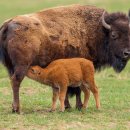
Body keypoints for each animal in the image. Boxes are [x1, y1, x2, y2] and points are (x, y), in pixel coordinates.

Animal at [0, 4, 130, 112]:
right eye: (114, 35)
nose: (127, 53)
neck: (96, 30)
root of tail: (8, 25)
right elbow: (76, 89)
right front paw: (78, 106)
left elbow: (68, 89)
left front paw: (68, 106)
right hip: (22, 66)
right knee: (16, 81)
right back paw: (17, 109)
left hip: (10, 66)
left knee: (12, 81)